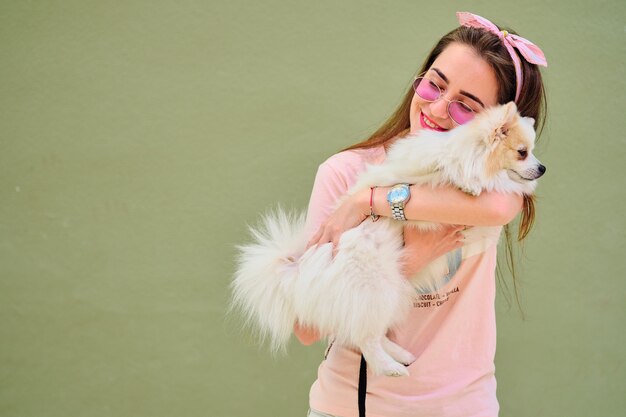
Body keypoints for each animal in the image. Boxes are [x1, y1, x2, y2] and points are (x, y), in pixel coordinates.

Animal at [229, 101, 540, 376]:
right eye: (522, 152)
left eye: (532, 152)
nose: (542, 168)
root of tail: (299, 274)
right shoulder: (413, 174)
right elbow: (436, 170)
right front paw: (465, 181)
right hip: (376, 288)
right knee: (365, 339)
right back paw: (390, 368)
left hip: (389, 292)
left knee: (370, 334)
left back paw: (399, 356)